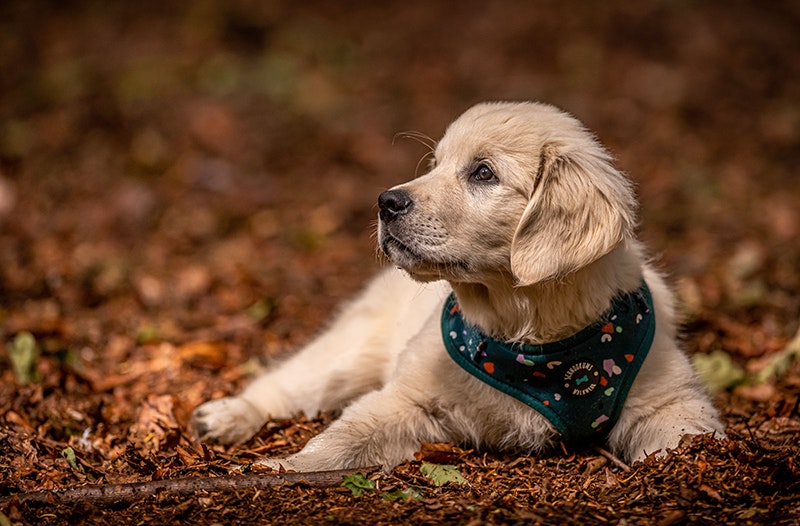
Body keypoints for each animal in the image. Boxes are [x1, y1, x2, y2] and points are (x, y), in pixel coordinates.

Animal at [192, 101, 724, 472]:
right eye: (434, 164)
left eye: (483, 172)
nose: (385, 202)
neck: (529, 335)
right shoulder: (406, 397)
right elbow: (342, 438)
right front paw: (284, 467)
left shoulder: (672, 400)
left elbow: (691, 437)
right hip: (349, 351)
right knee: (289, 382)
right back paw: (226, 416)